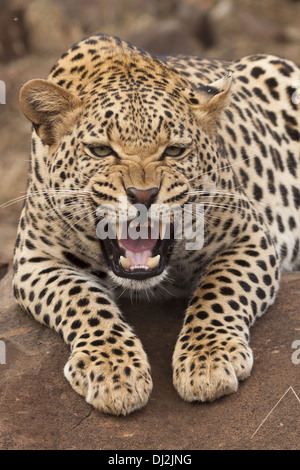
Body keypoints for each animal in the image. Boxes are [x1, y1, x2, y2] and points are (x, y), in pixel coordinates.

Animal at [12, 32, 300, 414]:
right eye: (101, 150)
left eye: (174, 150)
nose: (143, 194)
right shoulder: (35, 261)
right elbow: (82, 301)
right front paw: (113, 371)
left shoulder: (248, 235)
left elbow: (219, 291)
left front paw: (209, 359)